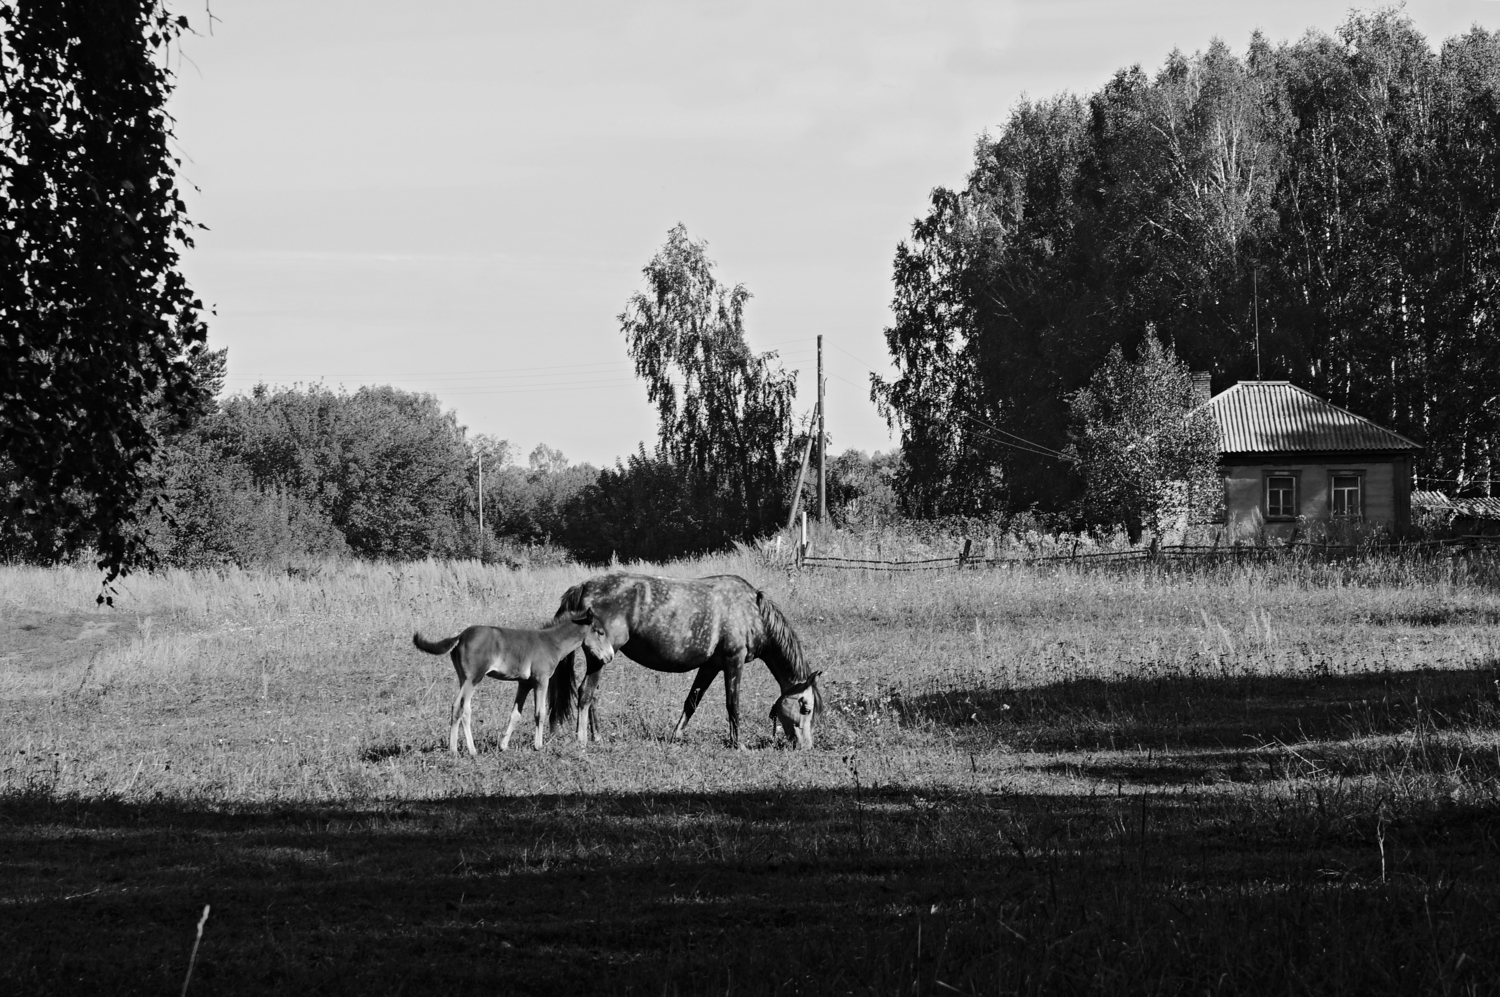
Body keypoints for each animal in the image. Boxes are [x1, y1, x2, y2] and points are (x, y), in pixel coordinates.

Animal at [414, 605, 612, 755]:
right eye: (600, 632)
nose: (609, 656)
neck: (551, 642)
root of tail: (460, 636)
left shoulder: (524, 684)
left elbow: (515, 714)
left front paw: (503, 745)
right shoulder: (541, 680)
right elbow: (540, 712)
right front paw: (538, 746)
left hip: (464, 678)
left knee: (467, 710)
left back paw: (473, 751)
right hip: (473, 677)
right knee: (458, 706)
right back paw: (453, 750)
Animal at [552, 566, 828, 746]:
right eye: (805, 707)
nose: (805, 747)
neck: (753, 613)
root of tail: (584, 586)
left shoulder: (710, 666)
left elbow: (691, 702)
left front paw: (676, 736)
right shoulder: (734, 662)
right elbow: (733, 704)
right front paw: (737, 744)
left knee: (591, 695)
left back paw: (597, 736)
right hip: (599, 657)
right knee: (586, 693)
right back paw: (582, 740)